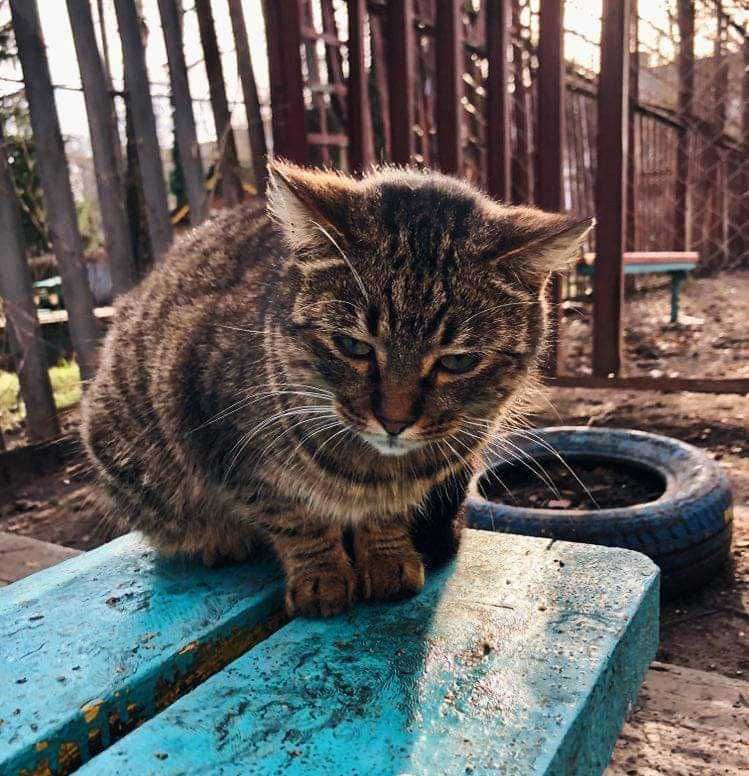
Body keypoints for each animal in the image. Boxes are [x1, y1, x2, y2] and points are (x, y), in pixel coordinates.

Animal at [82, 164, 592, 620]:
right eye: (353, 346)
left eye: (457, 361)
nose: (394, 420)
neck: (373, 470)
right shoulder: (231, 448)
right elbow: (296, 519)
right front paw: (321, 575)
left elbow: (384, 517)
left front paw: (387, 557)